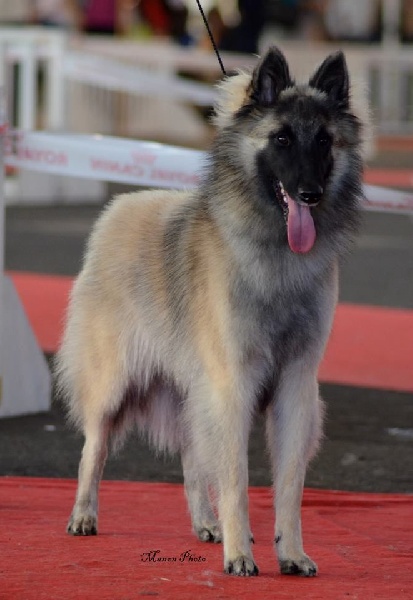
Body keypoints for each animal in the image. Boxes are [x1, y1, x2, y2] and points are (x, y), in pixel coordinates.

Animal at [56, 46, 367, 577]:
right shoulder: (233, 385)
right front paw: (240, 554)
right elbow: (236, 478)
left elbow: (288, 484)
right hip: (115, 384)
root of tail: (118, 209)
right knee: (92, 449)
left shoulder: (294, 387)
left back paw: (205, 523)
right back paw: (82, 515)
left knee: (191, 459)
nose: (310, 194)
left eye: (325, 141)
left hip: (193, 391)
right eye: (282, 138)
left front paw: (290, 552)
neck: (275, 256)